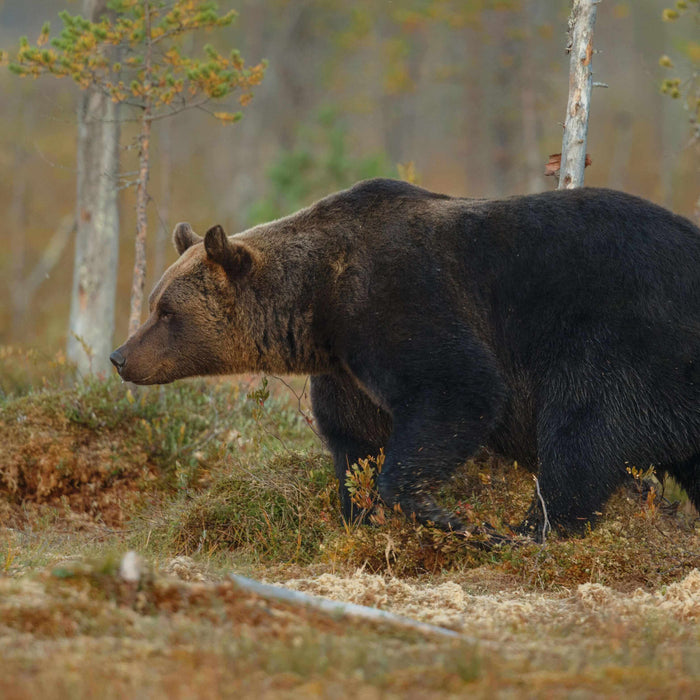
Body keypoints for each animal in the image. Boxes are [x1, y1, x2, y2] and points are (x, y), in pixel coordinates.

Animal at [109, 178, 700, 540]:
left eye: (166, 310)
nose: (120, 356)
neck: (319, 304)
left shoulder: (400, 300)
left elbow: (460, 388)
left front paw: (438, 512)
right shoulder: (345, 370)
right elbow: (355, 441)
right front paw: (359, 513)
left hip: (626, 338)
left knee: (582, 434)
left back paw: (529, 529)